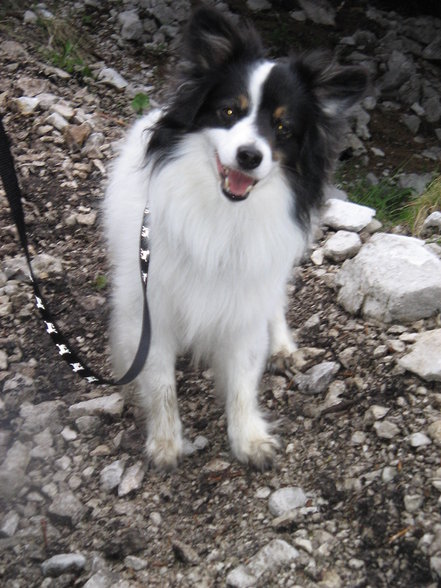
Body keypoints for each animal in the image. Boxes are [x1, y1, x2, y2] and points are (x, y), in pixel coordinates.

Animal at [104, 5, 368, 468]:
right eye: (228, 112)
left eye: (283, 128)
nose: (250, 156)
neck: (223, 215)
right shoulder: (149, 307)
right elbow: (159, 380)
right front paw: (165, 442)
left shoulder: (245, 304)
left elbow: (244, 378)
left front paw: (249, 439)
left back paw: (281, 347)